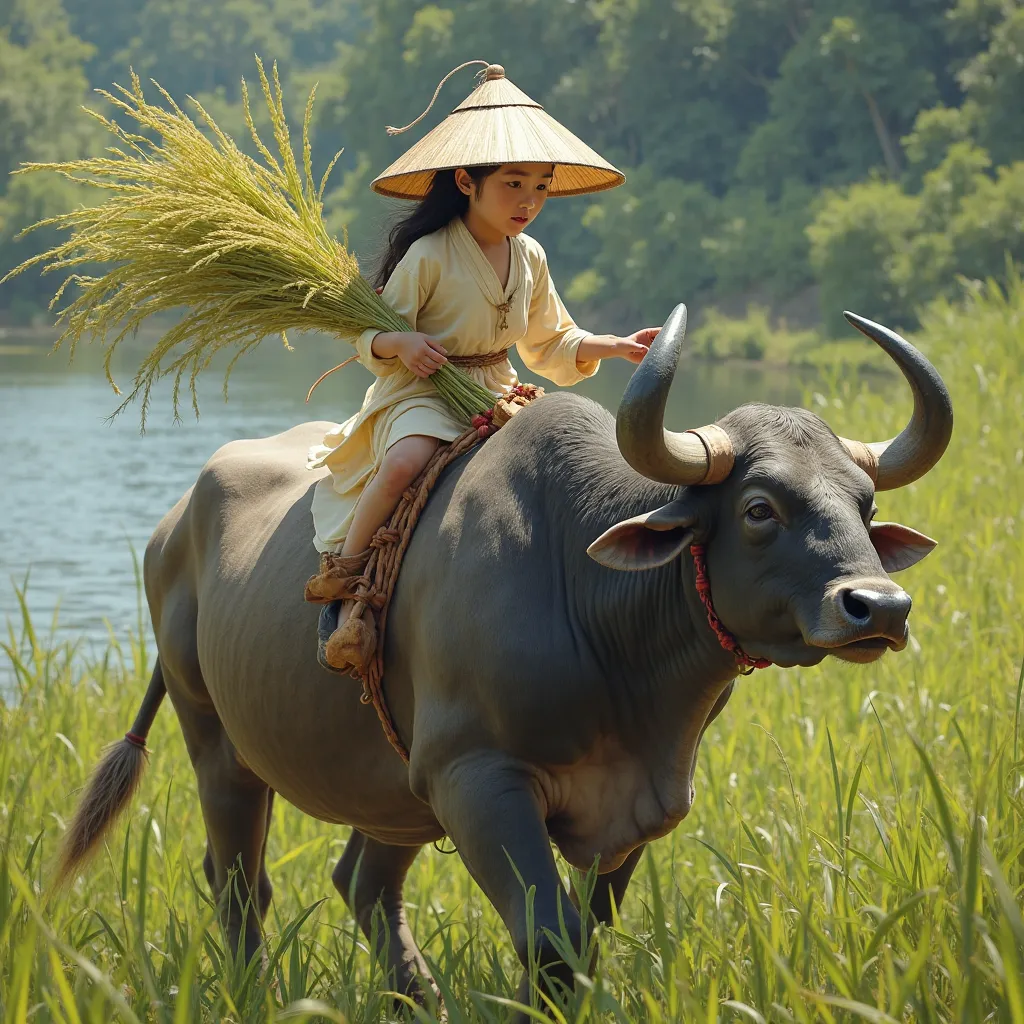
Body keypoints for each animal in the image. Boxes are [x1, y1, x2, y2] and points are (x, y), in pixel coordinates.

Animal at [56, 307, 950, 1011]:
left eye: (864, 503)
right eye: (759, 508)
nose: (878, 607)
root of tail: (174, 524)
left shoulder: (631, 804)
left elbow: (581, 946)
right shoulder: (477, 779)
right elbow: (547, 940)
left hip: (394, 780)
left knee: (364, 883)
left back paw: (417, 1001)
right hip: (215, 736)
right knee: (240, 881)